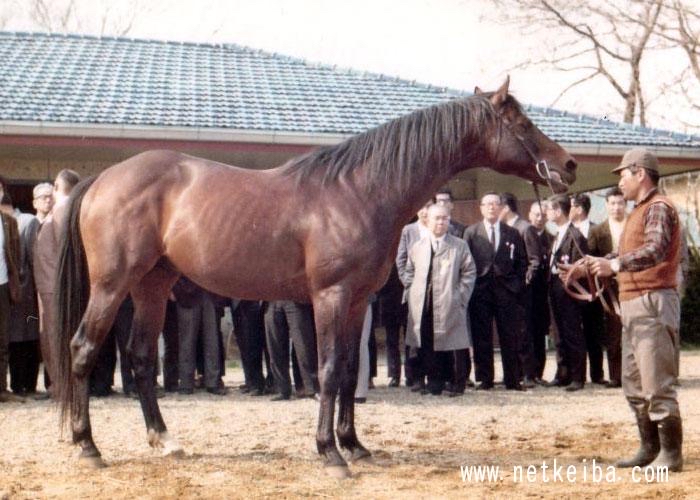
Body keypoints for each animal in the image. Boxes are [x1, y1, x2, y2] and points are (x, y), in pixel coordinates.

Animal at [53, 76, 576, 478]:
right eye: (522, 123)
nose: (567, 165)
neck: (360, 192)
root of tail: (103, 179)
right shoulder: (331, 296)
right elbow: (325, 370)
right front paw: (330, 453)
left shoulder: (358, 301)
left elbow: (347, 370)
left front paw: (354, 444)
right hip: (112, 285)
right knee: (83, 349)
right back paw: (88, 446)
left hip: (152, 285)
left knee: (141, 356)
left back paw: (164, 440)